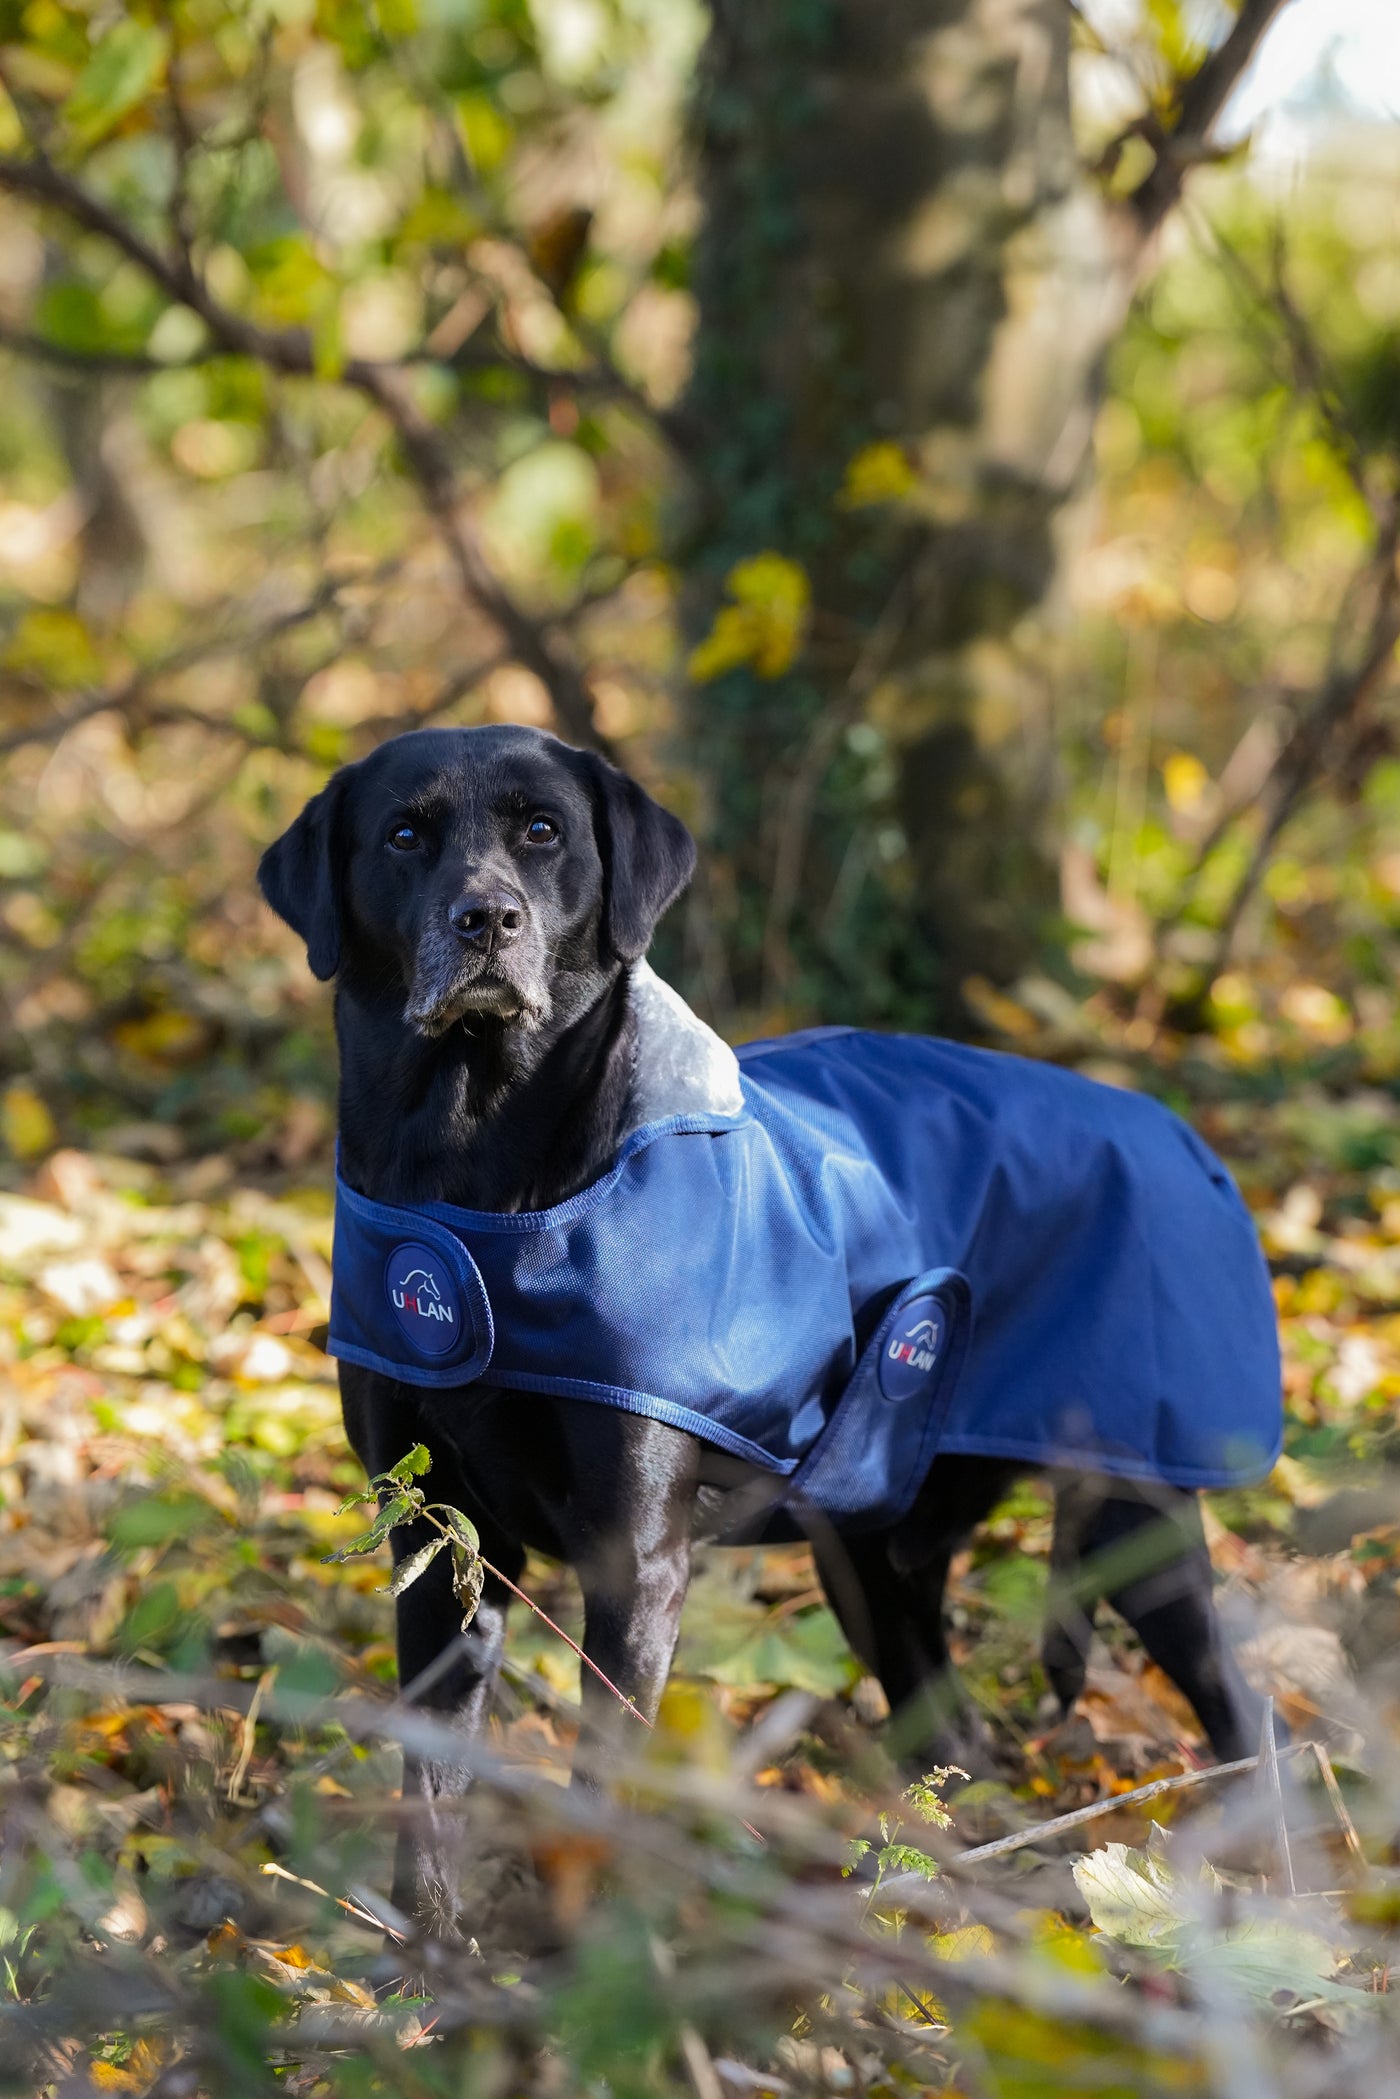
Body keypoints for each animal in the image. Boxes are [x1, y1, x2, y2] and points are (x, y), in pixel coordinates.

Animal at [257, 722, 1267, 1931]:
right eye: (405, 834)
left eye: (542, 830)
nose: (486, 919)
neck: (477, 1179)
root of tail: (1180, 1133)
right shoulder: (435, 1536)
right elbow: (433, 1775)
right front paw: (429, 1952)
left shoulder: (634, 1558)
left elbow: (600, 1775)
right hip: (874, 1552)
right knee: (951, 1727)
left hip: (1132, 1514)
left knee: (1244, 1713)